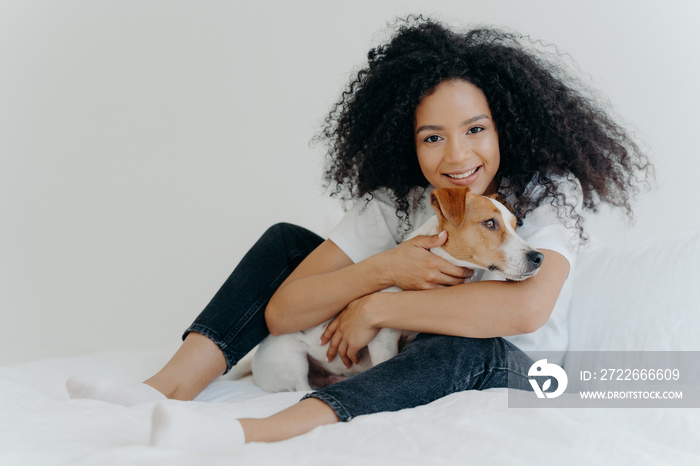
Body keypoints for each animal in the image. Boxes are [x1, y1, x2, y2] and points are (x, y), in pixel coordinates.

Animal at [249, 187, 544, 392]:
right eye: (490, 223)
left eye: (515, 226)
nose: (538, 257)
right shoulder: (383, 340)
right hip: (292, 357)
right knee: (300, 387)